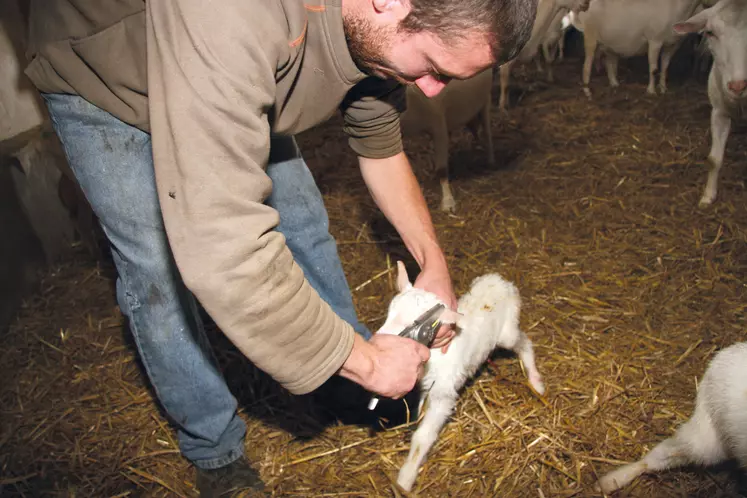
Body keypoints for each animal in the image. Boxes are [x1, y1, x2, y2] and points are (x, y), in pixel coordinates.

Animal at [380, 260, 544, 490]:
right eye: (389, 312)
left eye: (410, 324)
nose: (379, 342)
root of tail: (499, 280)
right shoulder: (424, 386)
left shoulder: (443, 394)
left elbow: (423, 436)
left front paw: (405, 479)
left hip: (507, 331)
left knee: (524, 343)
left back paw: (536, 381)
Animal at [400, 69, 494, 213]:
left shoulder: (438, 124)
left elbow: (442, 169)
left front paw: (448, 203)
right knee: (474, 129)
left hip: (485, 100)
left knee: (487, 132)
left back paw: (490, 160)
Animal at [568, 0, 704, 97]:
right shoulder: (654, 40)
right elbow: (653, 69)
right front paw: (651, 91)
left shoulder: (672, 45)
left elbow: (665, 67)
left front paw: (663, 88)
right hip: (590, 36)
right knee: (587, 65)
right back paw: (587, 91)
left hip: (609, 42)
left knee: (609, 62)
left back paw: (615, 84)